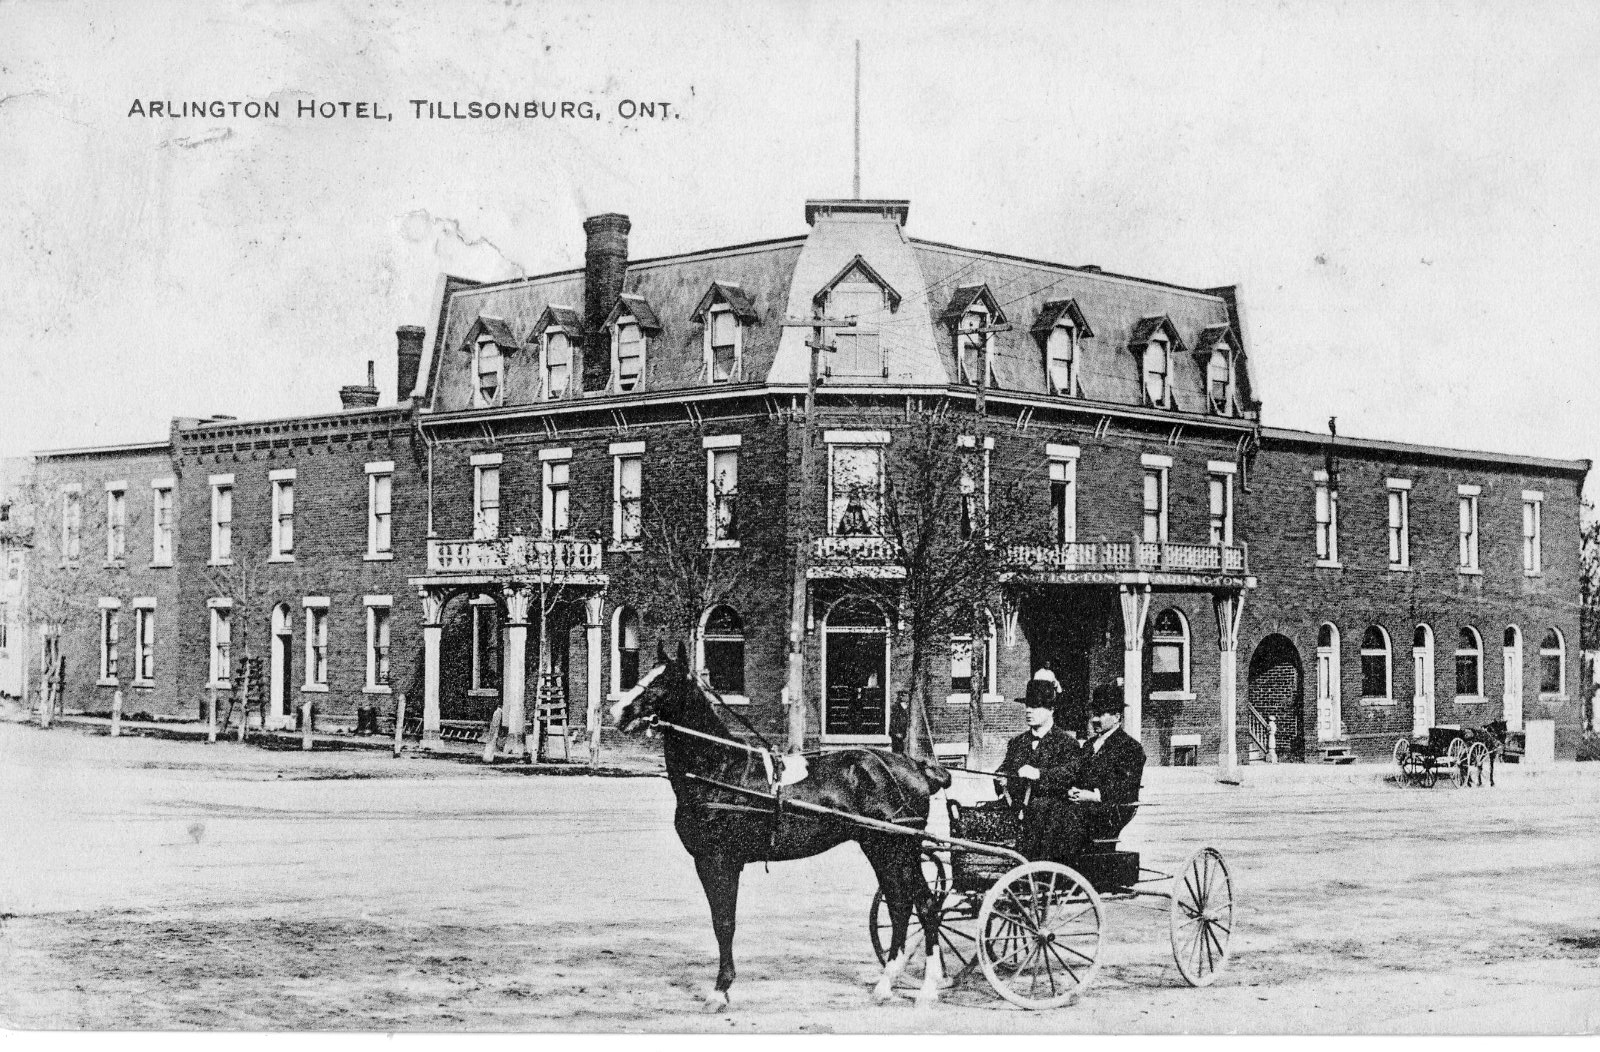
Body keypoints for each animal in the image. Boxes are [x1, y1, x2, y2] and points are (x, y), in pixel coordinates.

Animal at [608, 642, 947, 1004]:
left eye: (665, 680)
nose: (617, 712)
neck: (720, 769)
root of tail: (914, 766)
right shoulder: (711, 861)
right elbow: (720, 920)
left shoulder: (719, 859)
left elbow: (724, 922)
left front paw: (721, 989)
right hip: (887, 849)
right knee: (908, 905)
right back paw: (897, 983)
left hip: (894, 848)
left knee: (916, 905)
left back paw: (921, 985)